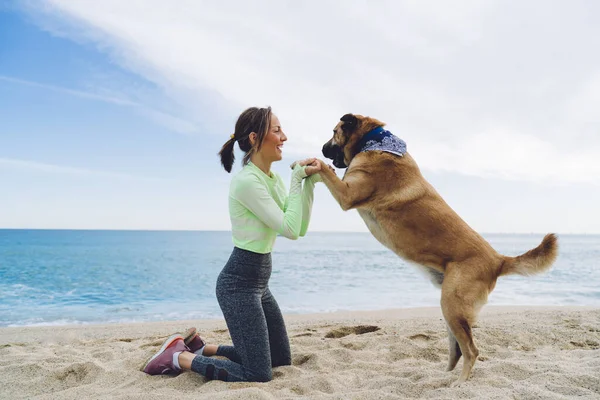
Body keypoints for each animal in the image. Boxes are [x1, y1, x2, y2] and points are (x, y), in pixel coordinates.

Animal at [314, 112, 556, 384]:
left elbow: (324, 170)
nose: (322, 148)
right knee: (457, 350)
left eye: (334, 132)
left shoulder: (347, 194)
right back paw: (441, 378)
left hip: (452, 306)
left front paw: (308, 163)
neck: (374, 141)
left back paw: (459, 384)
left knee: (471, 350)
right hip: (450, 310)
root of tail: (498, 259)